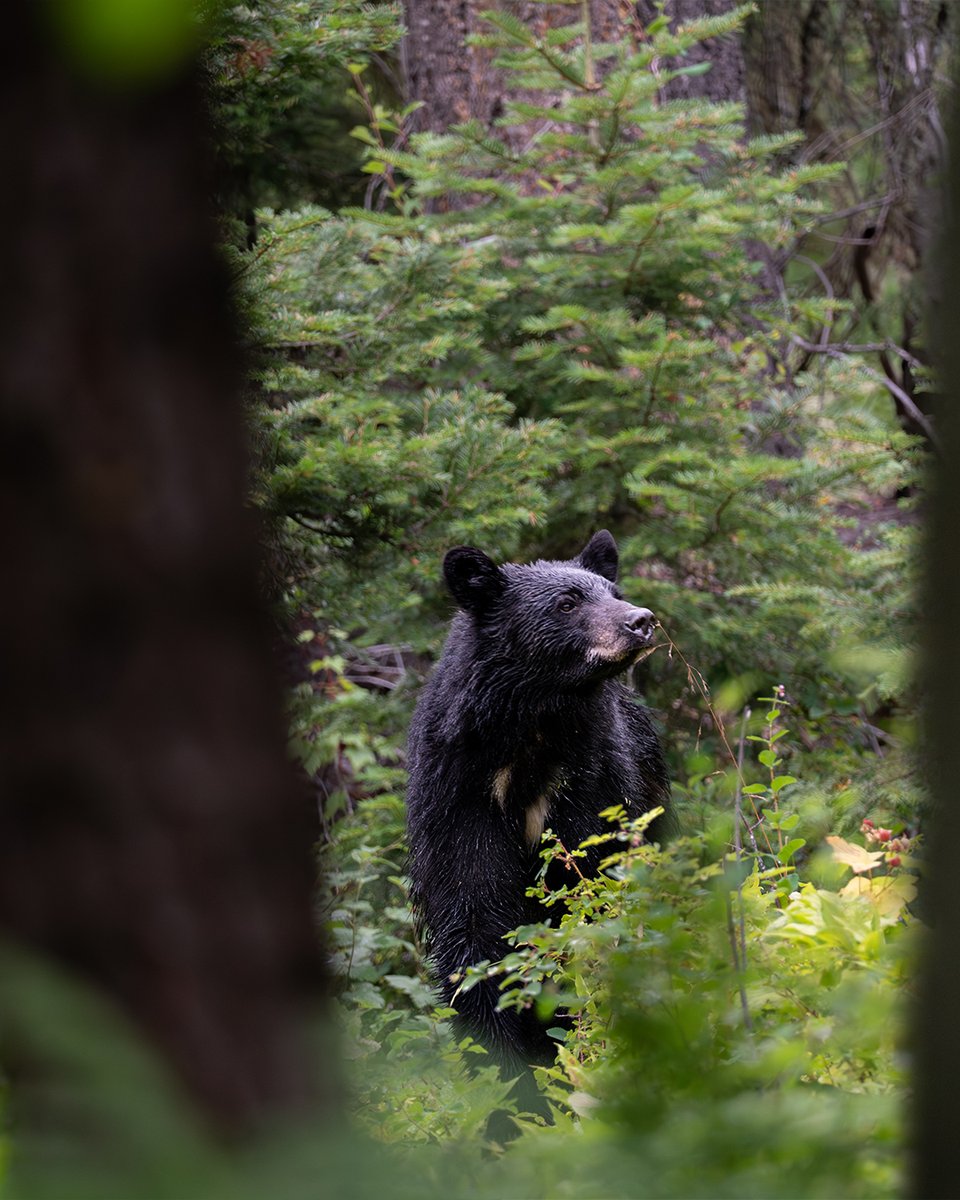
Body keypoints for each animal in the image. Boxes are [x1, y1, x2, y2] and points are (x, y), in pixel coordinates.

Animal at [406, 530, 670, 1077]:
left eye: (613, 591)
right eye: (567, 603)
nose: (641, 620)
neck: (533, 729)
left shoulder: (595, 782)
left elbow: (590, 891)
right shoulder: (458, 797)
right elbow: (475, 916)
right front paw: (503, 1061)